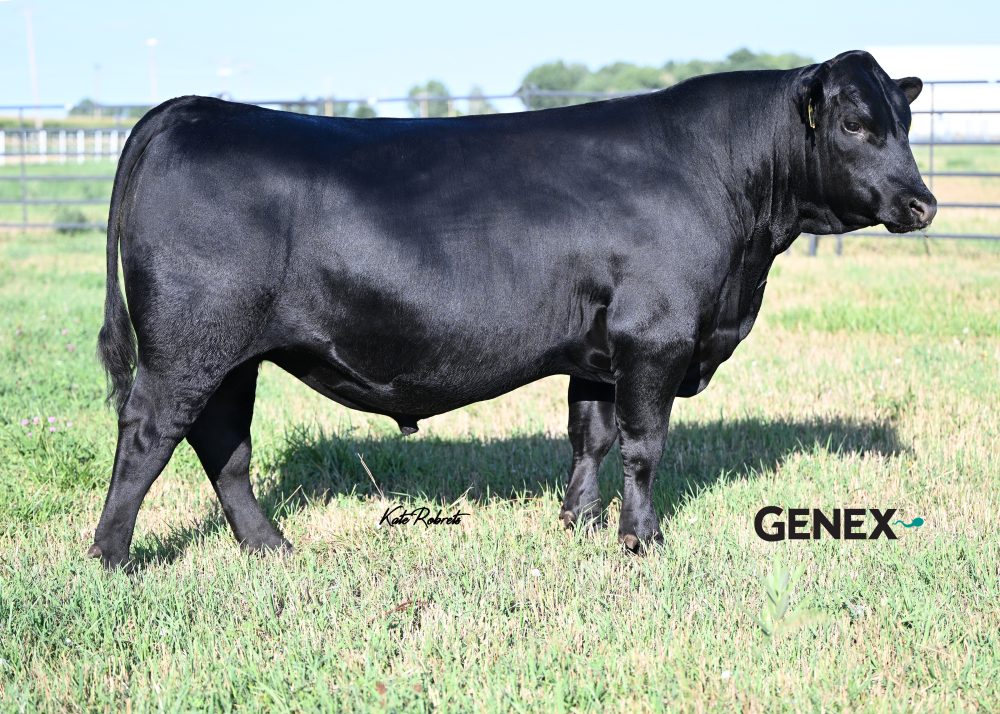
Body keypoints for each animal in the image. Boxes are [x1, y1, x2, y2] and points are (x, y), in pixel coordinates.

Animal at [90, 50, 935, 568]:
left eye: (904, 121)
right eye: (856, 124)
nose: (922, 203)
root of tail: (191, 110)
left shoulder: (599, 350)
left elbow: (591, 438)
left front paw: (580, 525)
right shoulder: (654, 337)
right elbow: (644, 446)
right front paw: (642, 540)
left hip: (232, 353)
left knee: (223, 446)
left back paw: (269, 547)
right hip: (188, 345)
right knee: (149, 437)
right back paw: (112, 558)